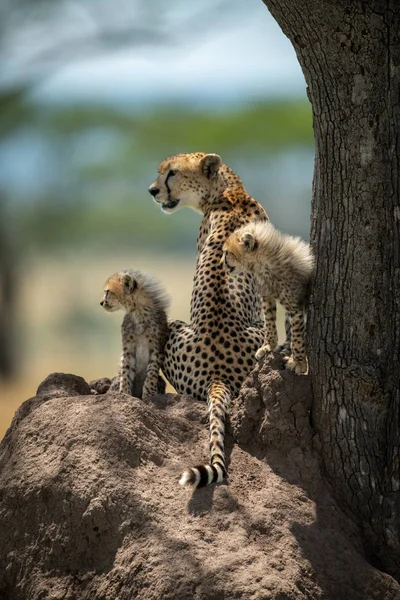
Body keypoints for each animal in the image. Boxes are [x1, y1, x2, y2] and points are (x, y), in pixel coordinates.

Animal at [101, 270, 170, 400]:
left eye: (107, 292)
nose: (101, 302)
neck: (138, 313)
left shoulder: (156, 348)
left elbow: (151, 373)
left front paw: (149, 394)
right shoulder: (128, 348)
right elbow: (126, 371)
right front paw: (124, 393)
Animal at [222, 220, 312, 376]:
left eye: (227, 252)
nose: (221, 263)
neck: (262, 263)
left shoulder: (295, 306)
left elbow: (298, 336)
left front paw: (299, 362)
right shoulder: (267, 297)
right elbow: (269, 322)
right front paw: (268, 346)